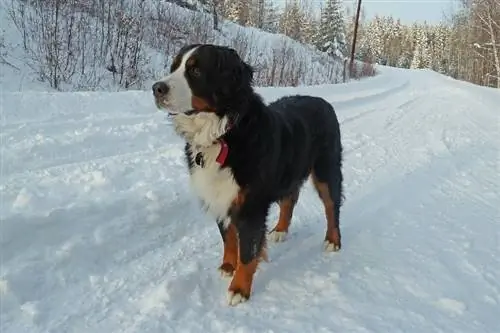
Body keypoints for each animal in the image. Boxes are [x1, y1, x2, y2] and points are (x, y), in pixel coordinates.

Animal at [150, 44, 342, 306]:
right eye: (174, 66)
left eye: (196, 70)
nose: (156, 88)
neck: (223, 134)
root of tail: (323, 102)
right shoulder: (220, 195)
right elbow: (229, 238)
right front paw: (227, 267)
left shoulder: (251, 204)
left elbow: (248, 251)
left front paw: (239, 289)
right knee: (289, 199)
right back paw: (280, 230)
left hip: (326, 169)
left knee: (332, 206)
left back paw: (333, 240)